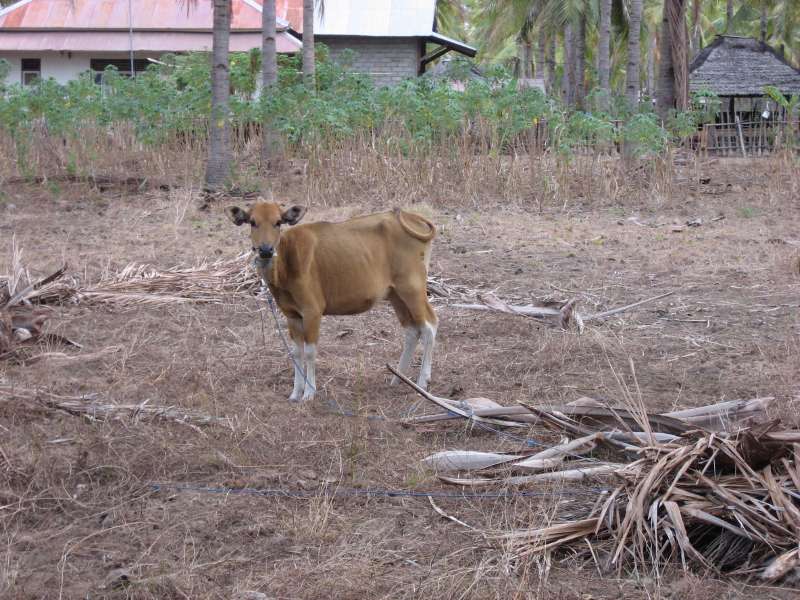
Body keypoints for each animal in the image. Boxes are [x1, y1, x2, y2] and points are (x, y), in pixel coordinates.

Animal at [225, 202, 438, 404]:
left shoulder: (312, 311)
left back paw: (422, 382)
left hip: (412, 288)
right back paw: (398, 379)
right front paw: (295, 393)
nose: (266, 250)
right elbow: (296, 352)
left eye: (278, 222)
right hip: (396, 295)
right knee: (412, 330)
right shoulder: (291, 314)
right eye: (252, 222)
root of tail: (412, 217)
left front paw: (309, 393)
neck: (287, 263)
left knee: (429, 326)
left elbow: (310, 352)